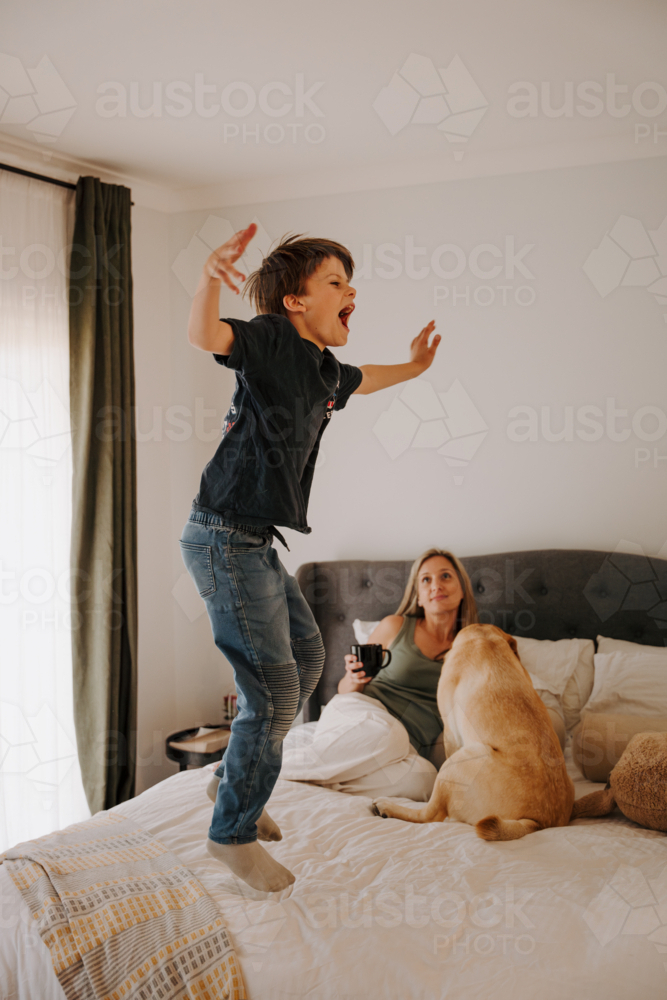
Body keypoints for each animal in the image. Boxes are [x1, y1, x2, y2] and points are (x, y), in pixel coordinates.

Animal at [374, 620, 576, 840]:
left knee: (430, 814)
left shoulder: (451, 733)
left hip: (459, 760)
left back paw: (387, 807)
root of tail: (538, 822)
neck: (484, 639)